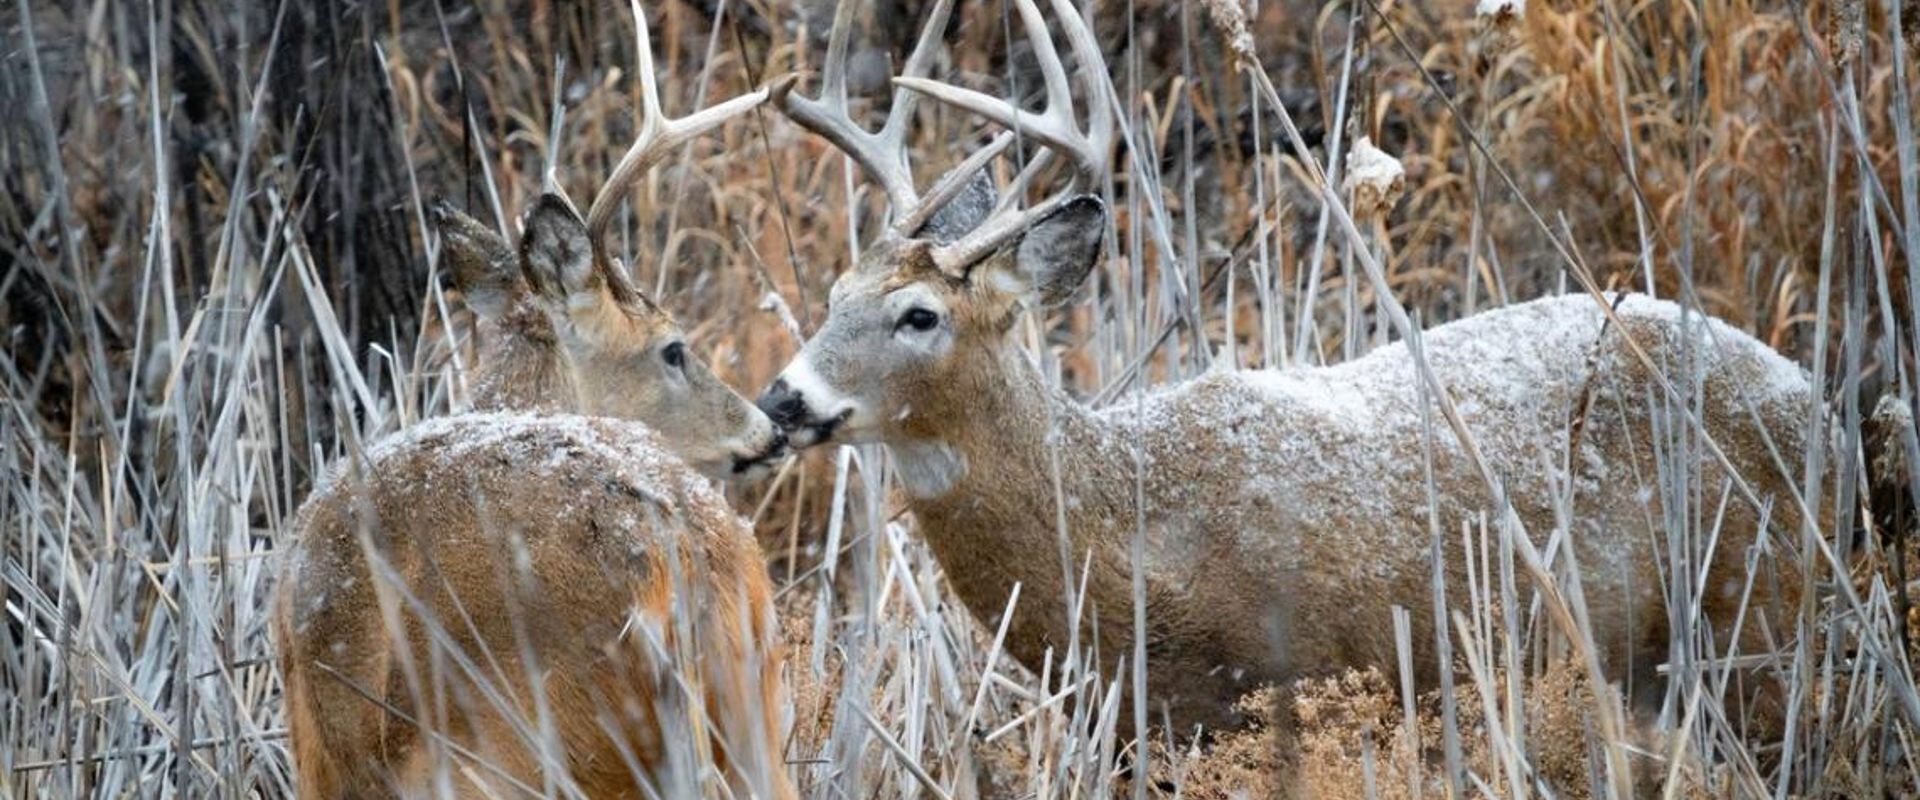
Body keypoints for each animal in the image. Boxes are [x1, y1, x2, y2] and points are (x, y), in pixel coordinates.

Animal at [274, 3, 798, 796]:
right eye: (673, 348)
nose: (769, 428)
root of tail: (682, 553)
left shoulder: (330, 755)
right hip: (750, 709)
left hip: (548, 743)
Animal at [758, 0, 1819, 737]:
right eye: (833, 292)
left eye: (920, 315)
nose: (780, 398)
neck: (1130, 540)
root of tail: (1814, 397)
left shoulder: (1309, 681)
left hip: (1759, 618)